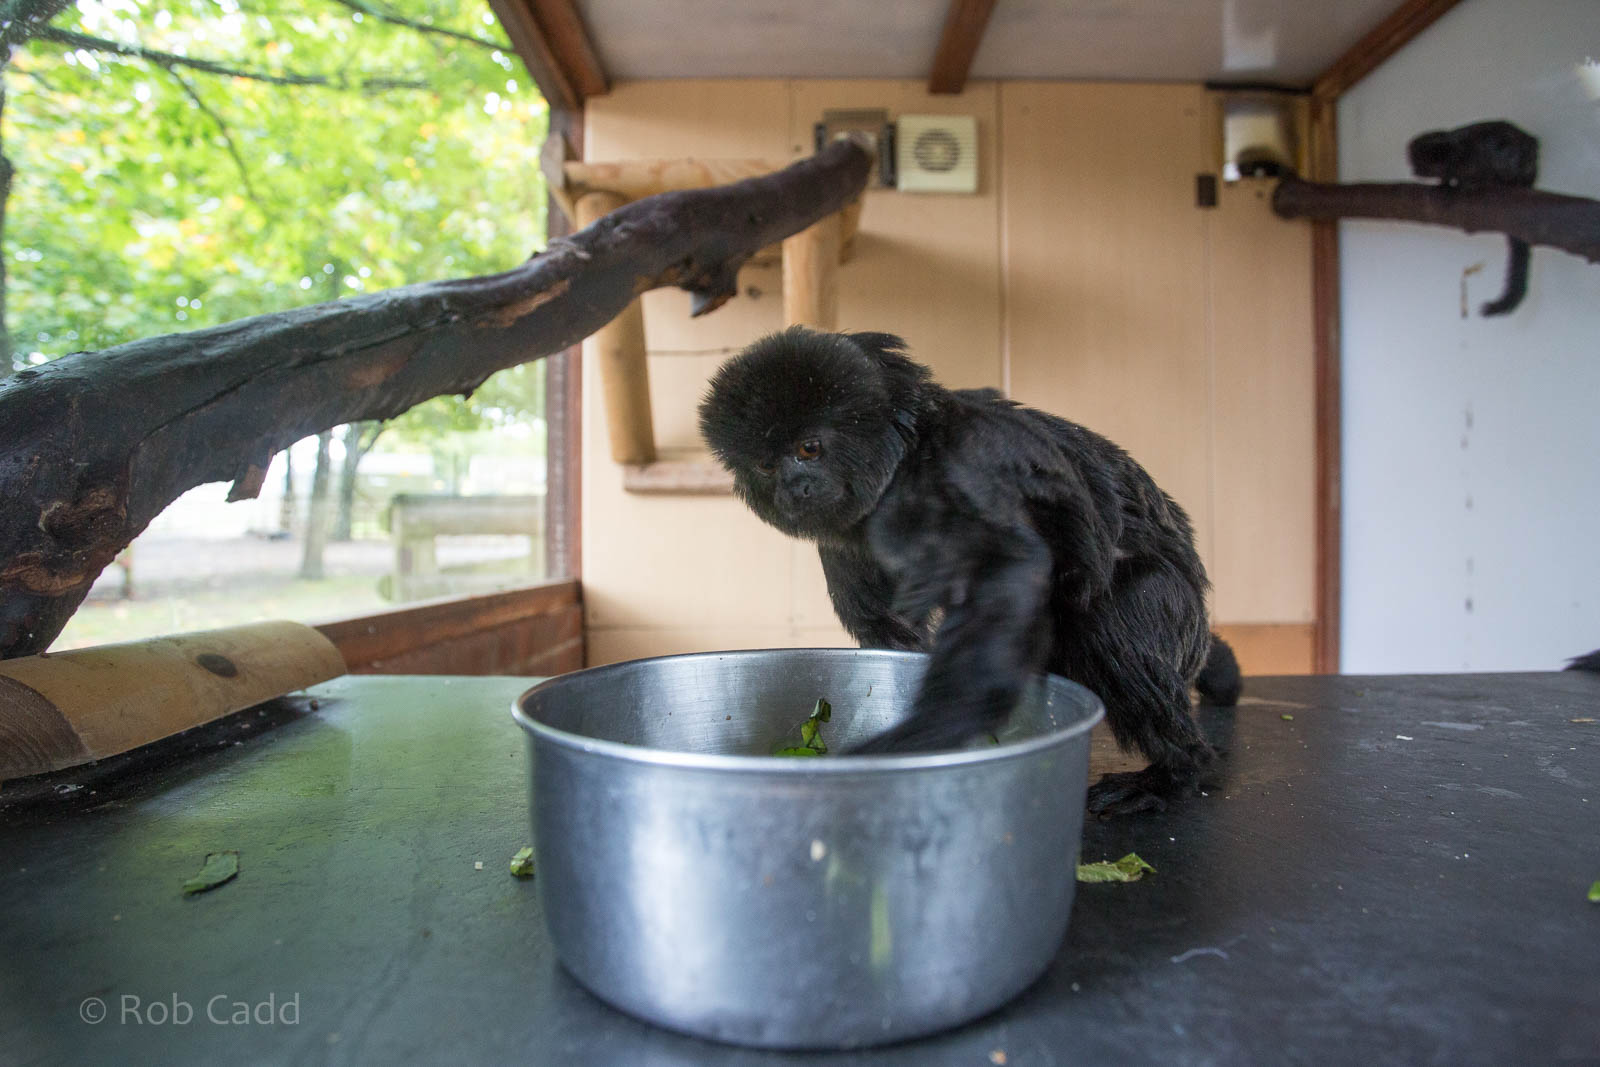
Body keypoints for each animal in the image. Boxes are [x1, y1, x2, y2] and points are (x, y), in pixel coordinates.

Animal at [699, 327, 1241, 816]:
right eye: (767, 466)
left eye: (808, 448)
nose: (795, 489)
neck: (902, 462)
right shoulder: (845, 545)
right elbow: (891, 632)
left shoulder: (958, 473)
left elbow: (1009, 586)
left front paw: (885, 760)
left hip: (1172, 611)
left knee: (1114, 617)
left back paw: (1175, 772)